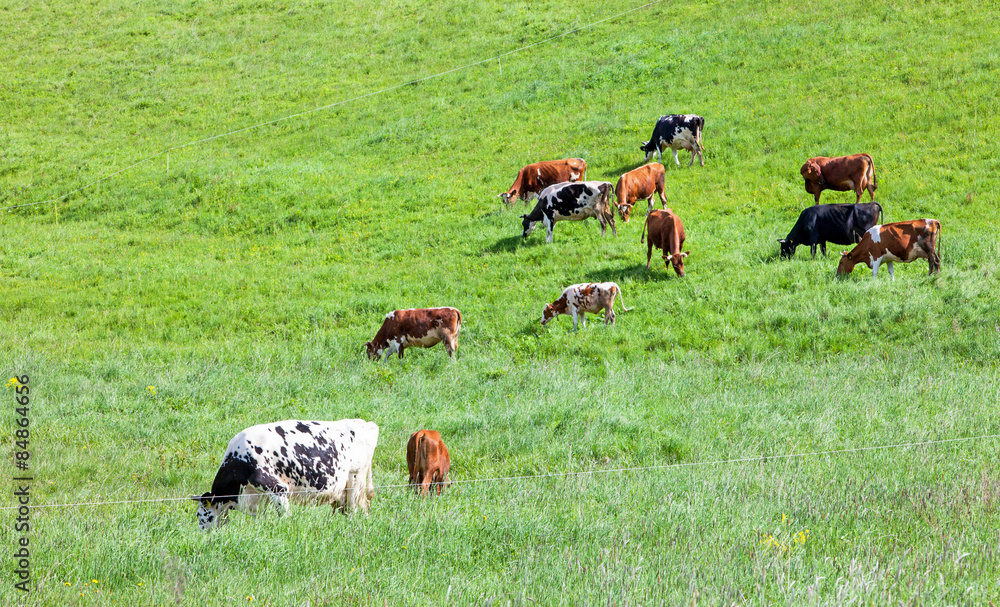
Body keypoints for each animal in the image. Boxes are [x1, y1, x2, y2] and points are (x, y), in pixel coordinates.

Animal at [191, 418, 378, 532]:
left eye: (204, 515)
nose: (203, 535)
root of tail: (364, 424)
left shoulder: (278, 488)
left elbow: (284, 516)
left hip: (355, 479)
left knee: (353, 509)